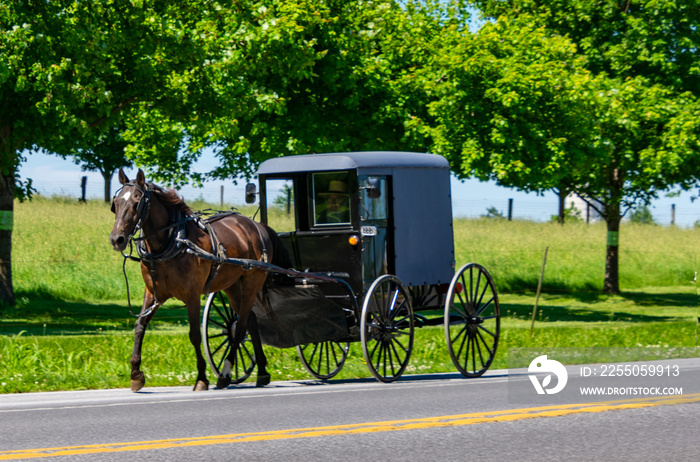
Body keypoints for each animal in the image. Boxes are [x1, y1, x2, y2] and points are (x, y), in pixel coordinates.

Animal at [109, 168, 284, 392]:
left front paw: (201, 378)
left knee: (240, 327)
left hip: (252, 282)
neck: (172, 240)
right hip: (232, 285)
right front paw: (136, 374)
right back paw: (262, 372)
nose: (117, 239)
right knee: (250, 321)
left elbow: (194, 334)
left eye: (137, 201)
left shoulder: (192, 295)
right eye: (116, 203)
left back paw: (225, 374)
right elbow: (140, 326)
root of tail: (257, 225)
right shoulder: (153, 293)